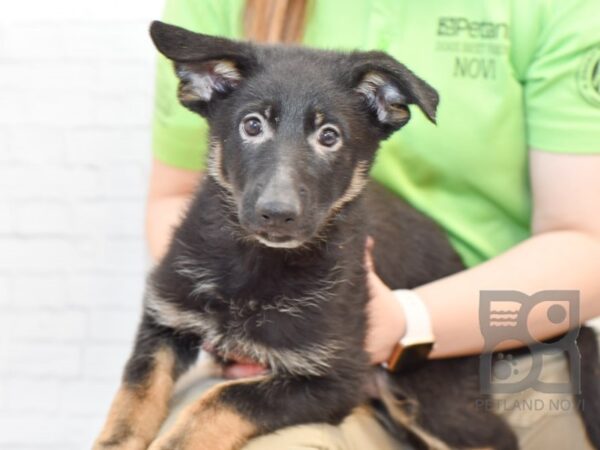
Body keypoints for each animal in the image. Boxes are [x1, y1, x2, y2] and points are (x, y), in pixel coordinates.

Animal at [95, 20, 600, 450]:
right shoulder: (165, 318)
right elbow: (133, 395)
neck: (255, 264)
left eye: (329, 136)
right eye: (251, 125)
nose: (277, 215)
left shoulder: (334, 380)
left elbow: (221, 400)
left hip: (433, 398)